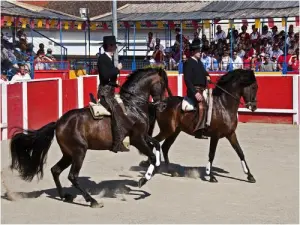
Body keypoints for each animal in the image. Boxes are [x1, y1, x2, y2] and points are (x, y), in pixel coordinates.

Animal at [9, 67, 172, 207]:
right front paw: (143, 180)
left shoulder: (144, 136)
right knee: (72, 176)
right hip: (79, 151)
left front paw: (152, 171)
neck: (133, 105)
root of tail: (59, 123)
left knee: (55, 170)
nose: (163, 106)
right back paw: (92, 201)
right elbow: (152, 156)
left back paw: (65, 196)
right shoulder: (137, 139)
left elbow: (157, 145)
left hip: (69, 153)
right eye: (163, 84)